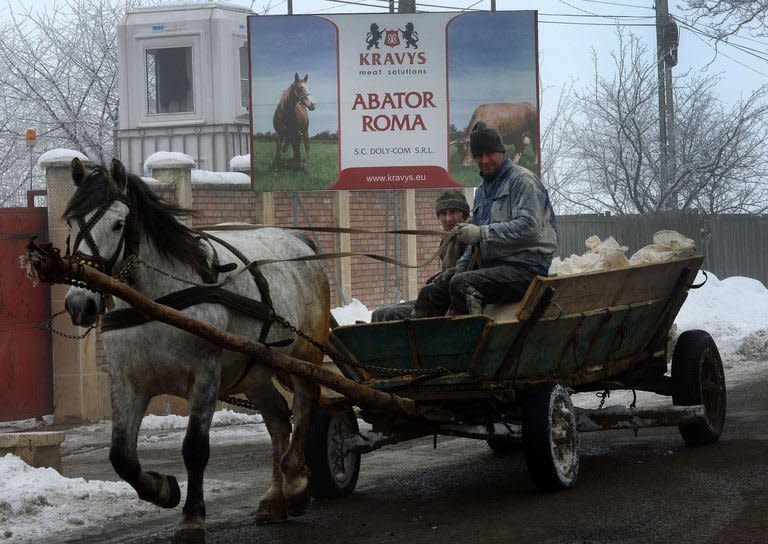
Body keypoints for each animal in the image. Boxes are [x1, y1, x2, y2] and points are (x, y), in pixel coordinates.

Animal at [62, 157, 330, 540]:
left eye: (117, 223)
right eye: (71, 222)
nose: (79, 303)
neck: (155, 304)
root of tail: (297, 239)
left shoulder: (204, 377)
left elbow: (194, 449)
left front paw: (191, 518)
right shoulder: (127, 384)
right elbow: (121, 457)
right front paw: (163, 490)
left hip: (303, 355)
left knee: (306, 403)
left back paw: (295, 482)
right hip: (254, 371)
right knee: (279, 417)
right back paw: (274, 498)